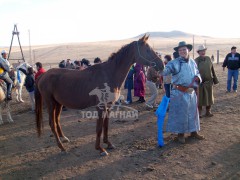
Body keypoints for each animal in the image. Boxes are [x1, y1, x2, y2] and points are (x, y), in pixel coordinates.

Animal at [35, 34, 164, 155]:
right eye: (147, 50)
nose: (161, 64)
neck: (109, 73)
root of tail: (43, 75)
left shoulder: (109, 106)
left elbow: (106, 126)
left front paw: (108, 143)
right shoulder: (101, 106)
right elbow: (99, 128)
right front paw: (100, 149)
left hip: (58, 104)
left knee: (57, 120)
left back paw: (64, 139)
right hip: (51, 103)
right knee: (52, 123)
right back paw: (61, 147)